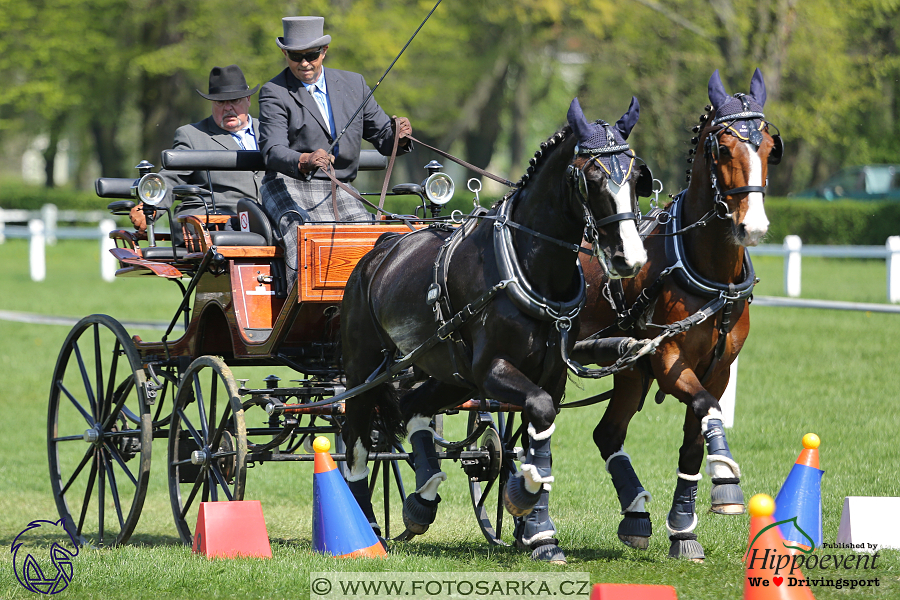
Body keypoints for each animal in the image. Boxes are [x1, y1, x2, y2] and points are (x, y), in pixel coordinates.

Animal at [342, 97, 652, 564]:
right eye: (592, 178)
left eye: (635, 178)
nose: (628, 259)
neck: (530, 268)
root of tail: (380, 247)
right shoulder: (493, 369)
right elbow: (539, 412)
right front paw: (524, 497)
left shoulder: (549, 376)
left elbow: (540, 436)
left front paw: (540, 532)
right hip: (365, 372)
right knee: (358, 443)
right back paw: (365, 527)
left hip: (450, 372)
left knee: (413, 407)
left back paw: (422, 497)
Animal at [576, 70, 780, 564]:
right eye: (722, 149)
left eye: (769, 147)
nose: (753, 227)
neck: (705, 269)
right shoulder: (668, 359)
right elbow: (707, 410)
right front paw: (726, 480)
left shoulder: (717, 369)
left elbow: (695, 439)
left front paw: (684, 529)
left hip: (630, 371)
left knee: (608, 433)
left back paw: (635, 515)